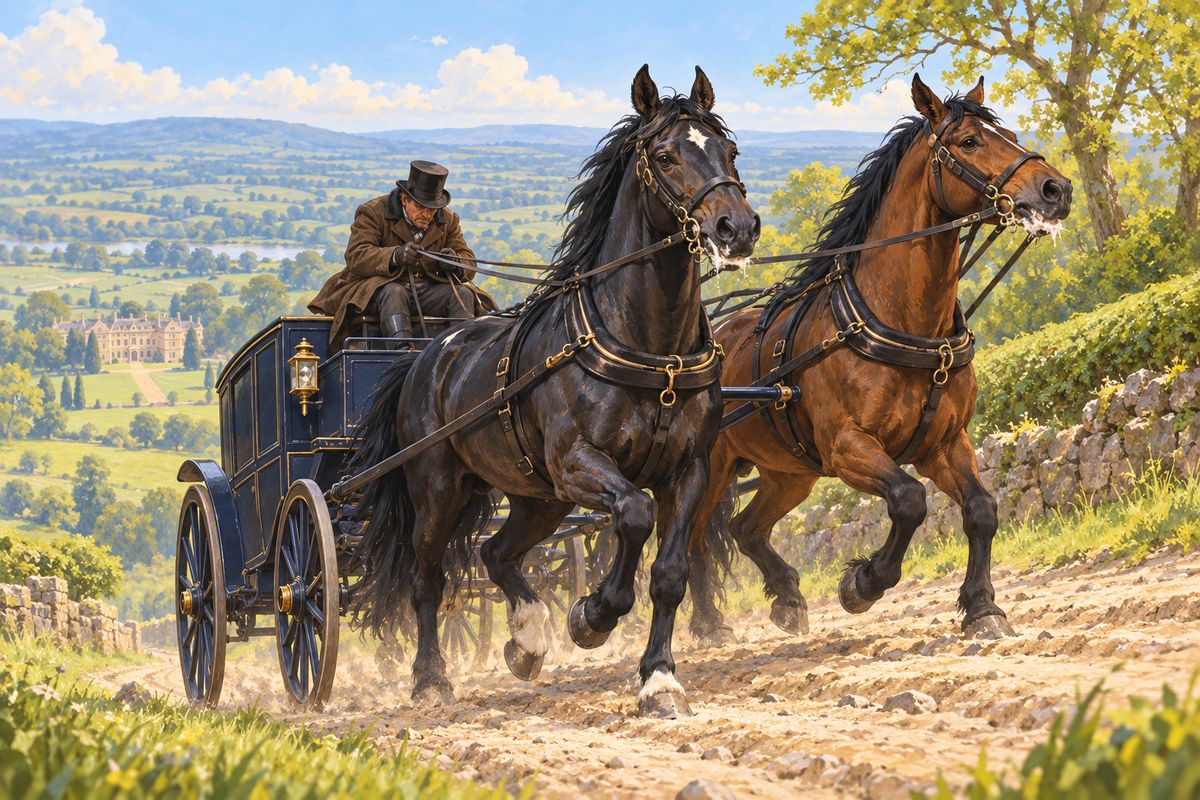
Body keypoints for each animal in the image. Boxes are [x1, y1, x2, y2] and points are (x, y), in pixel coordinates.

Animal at [348, 65, 760, 716]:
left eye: (730, 150)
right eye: (666, 156)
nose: (736, 229)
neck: (650, 346)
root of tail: (424, 357)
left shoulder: (688, 468)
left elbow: (670, 572)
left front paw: (660, 678)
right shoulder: (577, 464)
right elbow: (634, 514)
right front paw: (592, 616)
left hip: (539, 499)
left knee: (496, 553)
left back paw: (527, 641)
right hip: (440, 489)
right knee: (427, 579)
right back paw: (432, 679)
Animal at [685, 75, 1071, 644]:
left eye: (1013, 135)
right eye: (969, 142)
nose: (1055, 190)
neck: (903, 320)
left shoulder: (944, 443)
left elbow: (981, 508)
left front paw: (983, 608)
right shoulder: (849, 447)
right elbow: (909, 501)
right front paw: (862, 583)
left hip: (789, 471)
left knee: (744, 528)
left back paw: (787, 599)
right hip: (711, 468)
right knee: (690, 537)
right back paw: (709, 624)